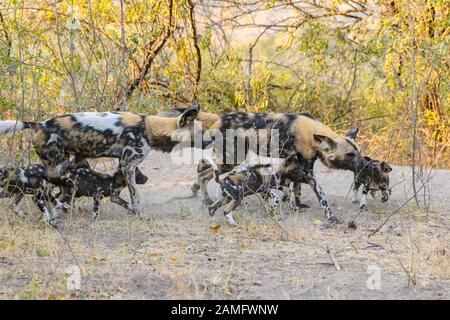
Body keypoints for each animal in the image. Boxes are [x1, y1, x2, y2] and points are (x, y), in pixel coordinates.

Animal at [0, 104, 201, 219]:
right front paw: (140, 215)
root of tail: (39, 124)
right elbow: (135, 196)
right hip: (57, 166)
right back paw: (59, 211)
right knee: (45, 193)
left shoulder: (122, 166)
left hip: (62, 164)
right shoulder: (128, 166)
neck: (149, 129)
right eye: (201, 132)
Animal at [159, 109, 362, 224]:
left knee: (203, 168)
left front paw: (297, 205)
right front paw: (330, 217)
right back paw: (206, 199)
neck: (309, 134)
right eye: (350, 155)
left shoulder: (302, 170)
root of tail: (218, 120)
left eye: (359, 152)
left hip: (227, 159)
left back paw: (198, 192)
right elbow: (319, 196)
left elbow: (300, 190)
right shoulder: (299, 170)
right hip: (230, 160)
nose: (364, 164)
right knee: (205, 173)